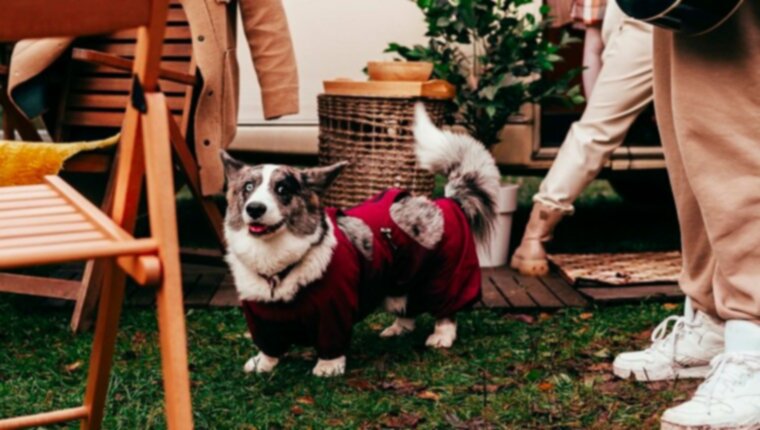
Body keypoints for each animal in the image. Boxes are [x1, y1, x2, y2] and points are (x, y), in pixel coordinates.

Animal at [223, 103, 502, 376]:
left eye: (283, 189)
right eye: (248, 187)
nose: (254, 209)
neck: (276, 269)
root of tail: (446, 201)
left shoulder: (333, 313)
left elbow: (331, 344)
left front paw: (328, 368)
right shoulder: (261, 320)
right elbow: (268, 346)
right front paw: (262, 364)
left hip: (446, 276)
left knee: (447, 310)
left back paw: (442, 336)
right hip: (400, 280)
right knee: (409, 305)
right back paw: (399, 328)